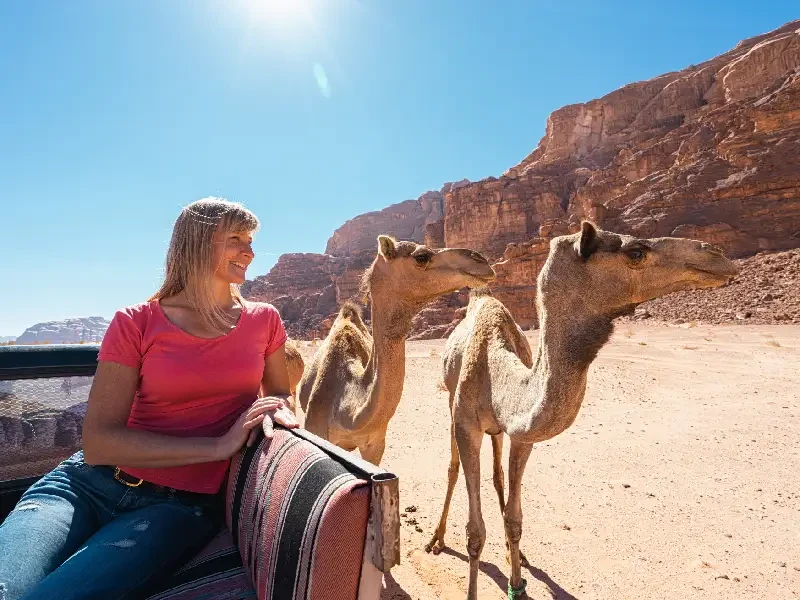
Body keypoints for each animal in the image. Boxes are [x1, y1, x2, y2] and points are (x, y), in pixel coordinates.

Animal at [422, 224, 740, 600]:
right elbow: (474, 532)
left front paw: (518, 581)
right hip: (450, 404)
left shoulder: (522, 434)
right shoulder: (466, 423)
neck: (497, 375)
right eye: (636, 252)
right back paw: (437, 539)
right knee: (453, 468)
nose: (717, 254)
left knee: (497, 473)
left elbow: (514, 519)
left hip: (496, 431)